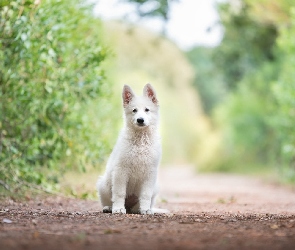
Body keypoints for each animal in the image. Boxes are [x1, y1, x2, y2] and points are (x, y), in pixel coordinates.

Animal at [97, 83, 166, 214]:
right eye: (134, 110)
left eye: (147, 110)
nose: (140, 120)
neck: (140, 140)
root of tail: (129, 207)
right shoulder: (120, 171)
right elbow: (119, 193)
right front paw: (118, 209)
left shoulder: (150, 173)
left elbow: (145, 195)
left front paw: (145, 210)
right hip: (103, 184)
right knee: (109, 199)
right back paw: (109, 208)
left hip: (156, 187)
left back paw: (140, 209)